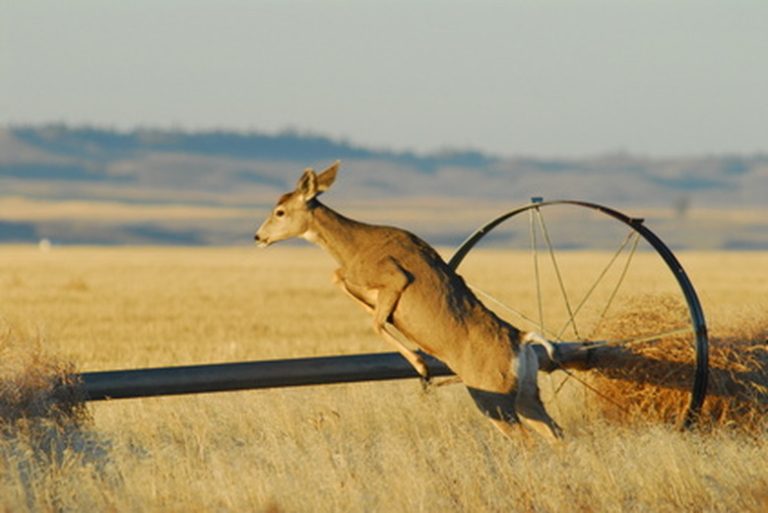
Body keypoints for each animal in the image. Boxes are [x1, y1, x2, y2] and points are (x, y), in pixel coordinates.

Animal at [256, 162, 564, 442]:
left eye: (280, 211)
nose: (259, 236)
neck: (356, 246)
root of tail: (521, 340)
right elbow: (341, 281)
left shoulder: (395, 277)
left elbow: (375, 320)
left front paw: (421, 366)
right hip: (527, 395)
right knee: (555, 432)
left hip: (493, 397)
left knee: (527, 439)